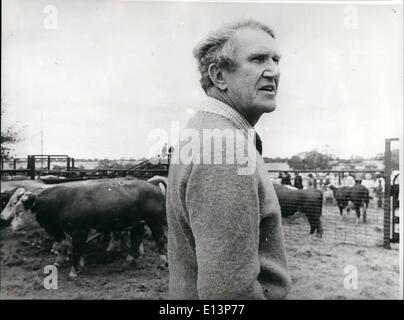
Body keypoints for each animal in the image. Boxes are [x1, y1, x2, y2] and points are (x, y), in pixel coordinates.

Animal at [6, 178, 167, 278]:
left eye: (19, 210)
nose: (11, 225)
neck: (62, 201)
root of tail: (153, 186)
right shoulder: (59, 231)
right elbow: (63, 246)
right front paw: (63, 262)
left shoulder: (80, 231)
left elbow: (76, 249)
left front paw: (74, 271)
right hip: (138, 223)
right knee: (136, 238)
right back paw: (129, 260)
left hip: (155, 221)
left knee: (160, 239)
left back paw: (163, 263)